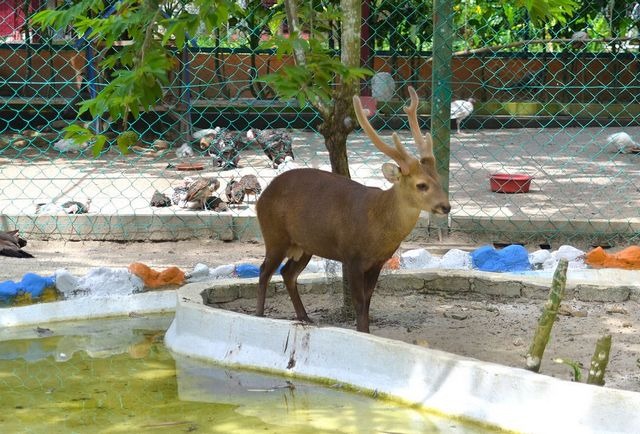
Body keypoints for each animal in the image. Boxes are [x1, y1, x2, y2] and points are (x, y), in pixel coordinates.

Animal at [255, 87, 450, 332]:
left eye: (439, 180)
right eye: (421, 185)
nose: (446, 206)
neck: (377, 223)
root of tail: (261, 197)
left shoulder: (378, 261)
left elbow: (368, 301)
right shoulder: (352, 256)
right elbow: (359, 302)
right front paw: (363, 332)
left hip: (305, 244)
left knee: (287, 273)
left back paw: (305, 317)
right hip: (274, 235)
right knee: (264, 271)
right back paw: (259, 315)